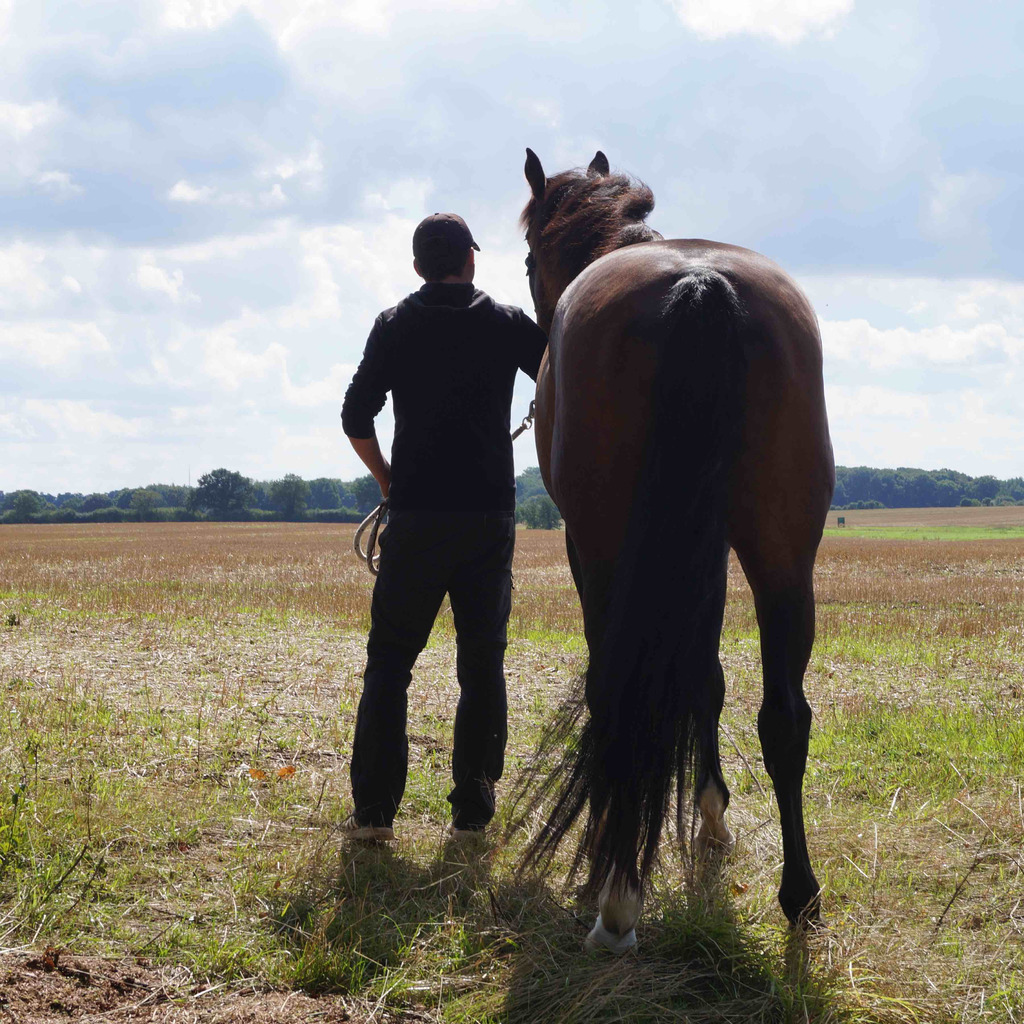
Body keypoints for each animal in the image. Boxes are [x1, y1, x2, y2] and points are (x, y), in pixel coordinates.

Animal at [520, 148, 831, 954]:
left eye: (529, 256)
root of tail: (702, 283)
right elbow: (705, 677)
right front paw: (713, 814)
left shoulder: (590, 549)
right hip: (784, 554)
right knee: (786, 717)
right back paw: (800, 898)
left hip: (606, 547)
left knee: (617, 690)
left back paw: (616, 900)